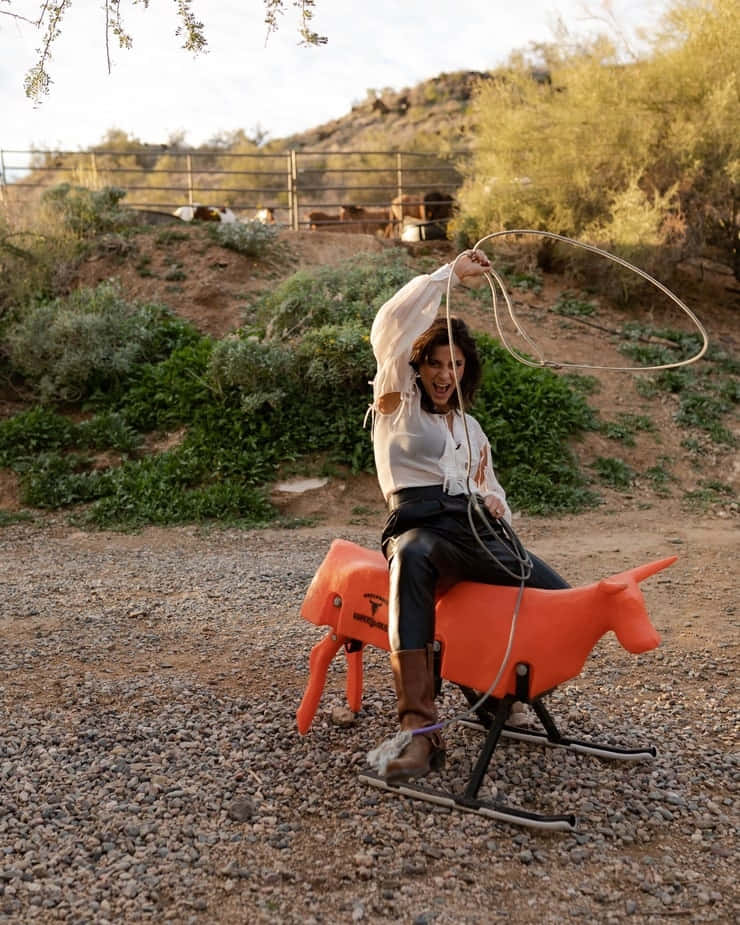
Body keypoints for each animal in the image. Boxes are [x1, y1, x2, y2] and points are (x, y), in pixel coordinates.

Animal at [294, 536, 676, 828]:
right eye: (626, 605)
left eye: (641, 604)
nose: (651, 641)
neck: (568, 619)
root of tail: (341, 550)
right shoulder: (516, 675)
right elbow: (477, 780)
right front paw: (472, 799)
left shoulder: (519, 682)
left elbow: (549, 730)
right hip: (343, 626)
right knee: (320, 653)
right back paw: (306, 720)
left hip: (352, 634)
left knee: (346, 653)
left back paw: (349, 705)